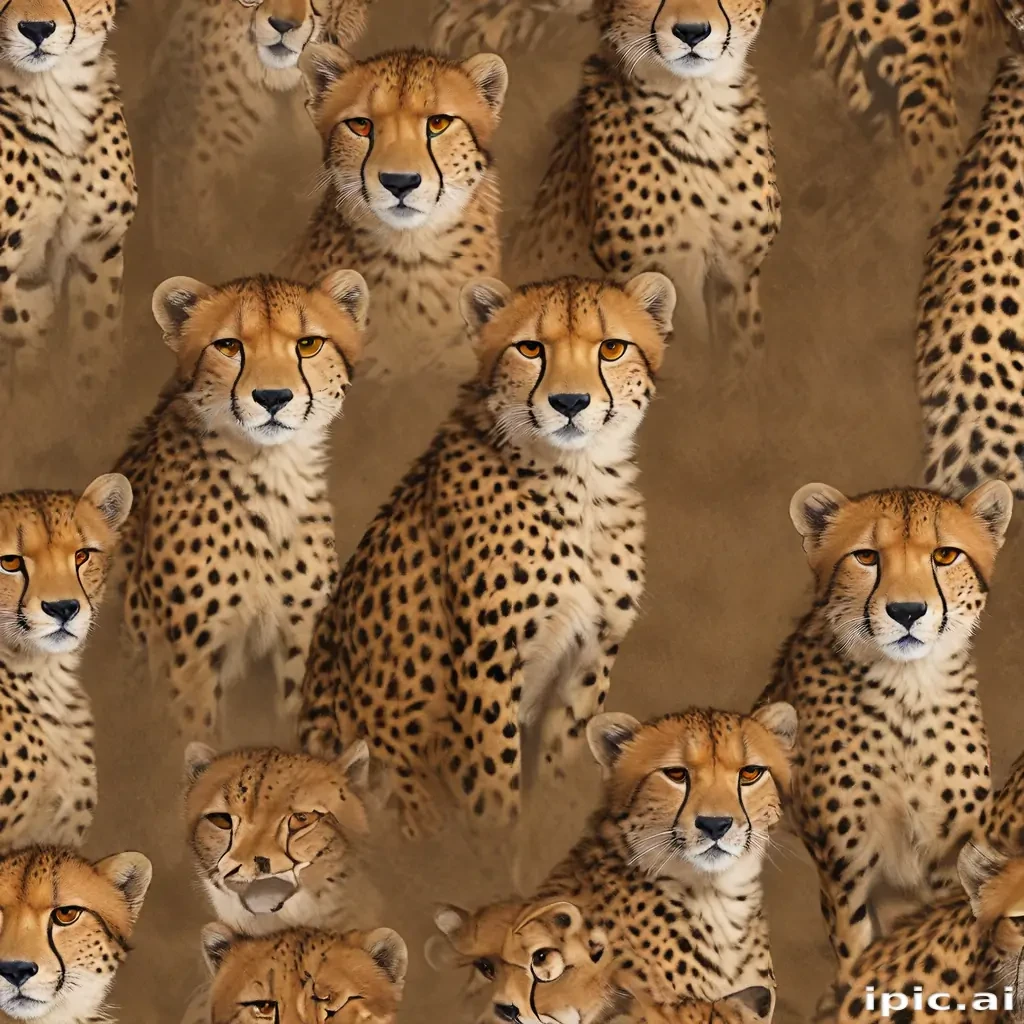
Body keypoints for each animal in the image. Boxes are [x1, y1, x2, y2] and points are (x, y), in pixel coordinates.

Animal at [115, 270, 369, 741]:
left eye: (308, 344)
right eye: (229, 346)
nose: (273, 397)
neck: (268, 472)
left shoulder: (301, 637)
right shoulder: (188, 657)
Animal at [299, 271, 677, 840]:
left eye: (611, 348)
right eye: (530, 348)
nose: (570, 402)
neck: (579, 480)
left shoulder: (588, 661)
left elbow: (559, 783)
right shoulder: (487, 664)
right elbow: (495, 788)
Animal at [757, 481, 1015, 987]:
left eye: (945, 554)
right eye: (866, 557)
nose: (907, 611)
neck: (906, 693)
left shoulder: (948, 866)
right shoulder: (845, 877)